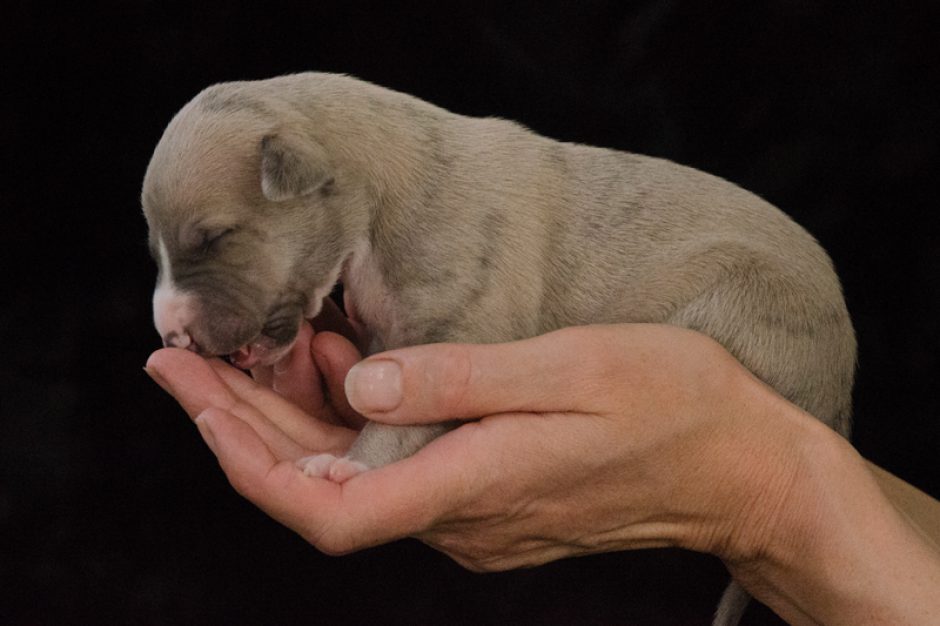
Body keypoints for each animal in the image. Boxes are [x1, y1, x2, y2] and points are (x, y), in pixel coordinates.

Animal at [143, 74, 856, 624]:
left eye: (214, 236)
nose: (172, 335)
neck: (384, 190)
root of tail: (842, 393)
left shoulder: (461, 324)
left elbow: (404, 421)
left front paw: (351, 465)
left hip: (744, 304)